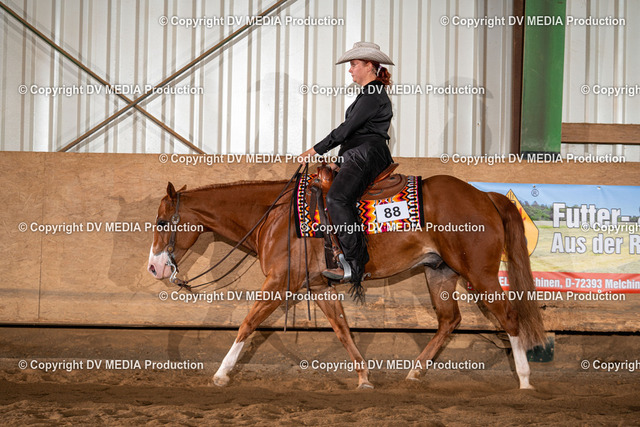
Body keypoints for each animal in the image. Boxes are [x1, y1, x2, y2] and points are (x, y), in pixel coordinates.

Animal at [147, 173, 546, 389]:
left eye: (163, 222)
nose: (154, 268)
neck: (275, 216)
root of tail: (485, 196)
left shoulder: (278, 282)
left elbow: (248, 323)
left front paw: (221, 374)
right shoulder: (320, 287)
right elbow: (341, 329)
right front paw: (364, 377)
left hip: (479, 274)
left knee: (509, 317)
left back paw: (525, 379)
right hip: (440, 272)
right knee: (450, 320)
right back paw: (415, 372)